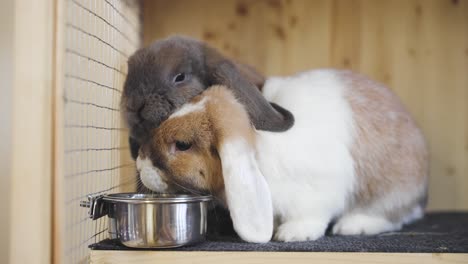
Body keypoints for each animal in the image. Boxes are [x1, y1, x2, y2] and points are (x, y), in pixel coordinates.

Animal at [135, 69, 428, 242]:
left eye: (183, 145)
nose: (139, 163)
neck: (258, 146)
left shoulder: (319, 194)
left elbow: (311, 215)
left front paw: (291, 234)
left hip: (390, 190)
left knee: (394, 215)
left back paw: (354, 225)